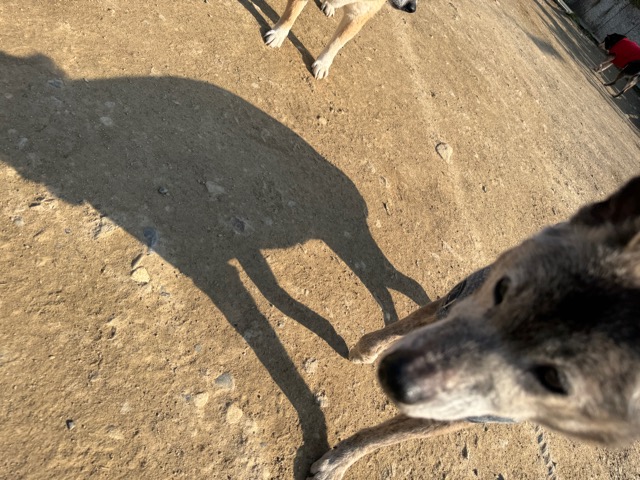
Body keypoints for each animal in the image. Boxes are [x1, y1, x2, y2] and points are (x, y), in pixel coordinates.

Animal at [264, 0, 416, 79]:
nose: (412, 8)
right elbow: (291, 14)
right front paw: (279, 33)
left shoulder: (358, 15)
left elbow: (336, 43)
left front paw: (323, 63)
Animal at [308, 176, 640, 480]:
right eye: (502, 289)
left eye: (554, 379)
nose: (394, 377)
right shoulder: (454, 302)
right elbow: (404, 325)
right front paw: (366, 349)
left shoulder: (456, 414)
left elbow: (384, 435)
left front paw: (336, 463)